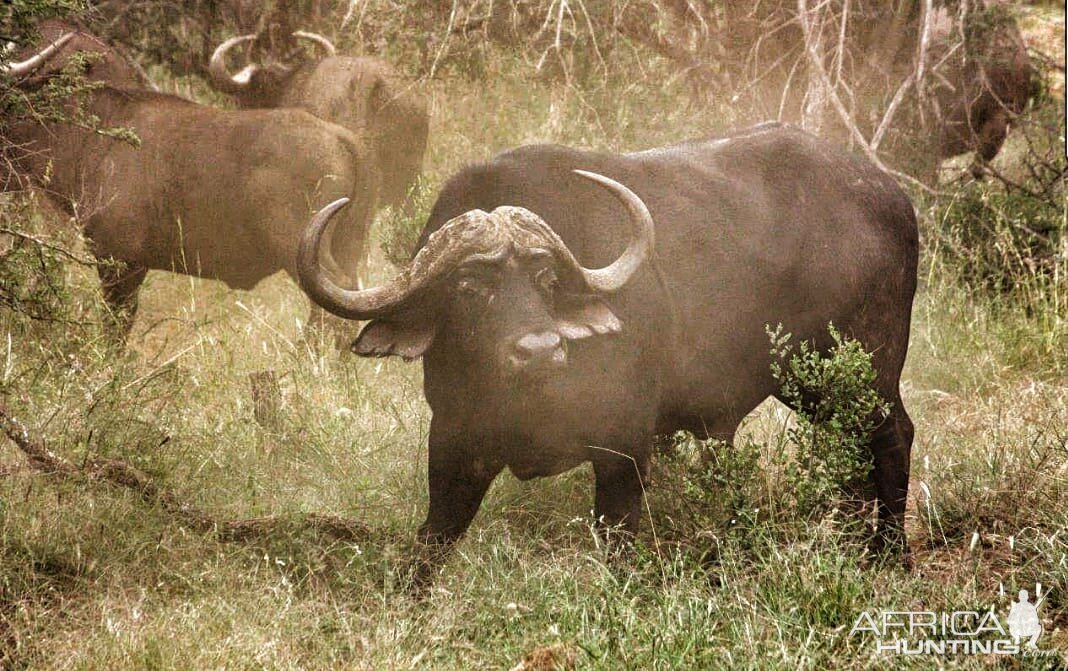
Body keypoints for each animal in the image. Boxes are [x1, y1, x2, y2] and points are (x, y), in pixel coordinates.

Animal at [4, 24, 373, 335]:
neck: (96, 133)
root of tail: (339, 136)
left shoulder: (120, 263)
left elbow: (116, 327)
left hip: (302, 249)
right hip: (347, 245)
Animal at [301, 123, 918, 585]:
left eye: (547, 280)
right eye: (469, 288)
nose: (540, 350)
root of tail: (891, 197)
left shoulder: (624, 445)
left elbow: (617, 538)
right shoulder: (456, 439)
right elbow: (434, 536)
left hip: (861, 370)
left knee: (892, 436)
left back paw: (889, 555)